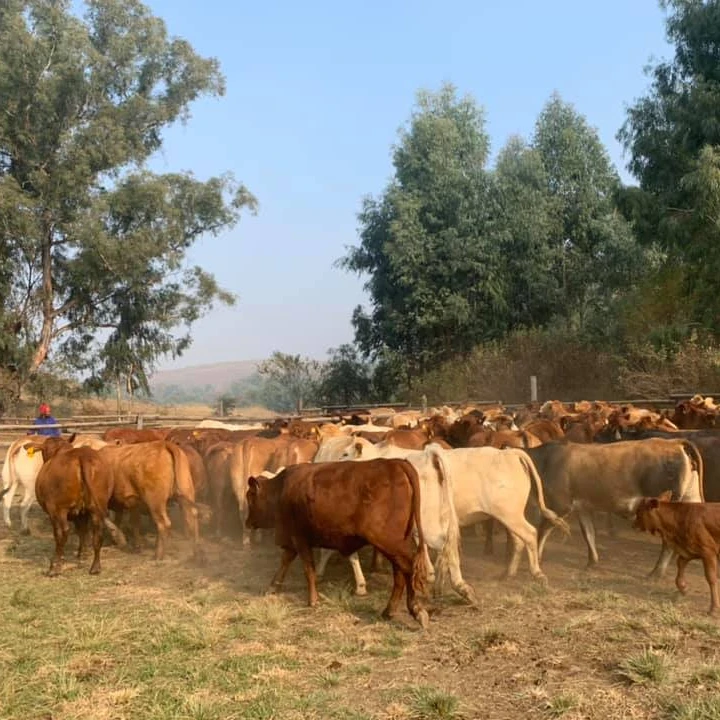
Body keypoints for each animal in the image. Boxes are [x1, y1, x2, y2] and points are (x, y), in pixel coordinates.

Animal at [24, 436, 126, 576]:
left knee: (63, 532)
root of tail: (82, 456)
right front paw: (83, 553)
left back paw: (55, 567)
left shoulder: (54, 511)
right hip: (96, 506)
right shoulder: (82, 512)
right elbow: (82, 531)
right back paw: (95, 567)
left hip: (60, 509)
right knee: (97, 533)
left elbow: (62, 533)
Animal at [245, 459, 431, 628]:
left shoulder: (300, 539)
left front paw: (313, 600)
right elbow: (285, 563)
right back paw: (389, 611)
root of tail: (396, 463)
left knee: (408, 569)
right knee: (400, 573)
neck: (281, 489)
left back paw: (415, 610)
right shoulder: (293, 541)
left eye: (250, 497)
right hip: (393, 544)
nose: (247, 523)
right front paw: (272, 588)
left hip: (389, 542)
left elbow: (308, 569)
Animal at [526, 439, 704, 577]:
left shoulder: (560, 505)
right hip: (690, 498)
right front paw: (592, 562)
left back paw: (656, 573)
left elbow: (543, 530)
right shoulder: (583, 507)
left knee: (668, 542)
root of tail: (674, 442)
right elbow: (588, 533)